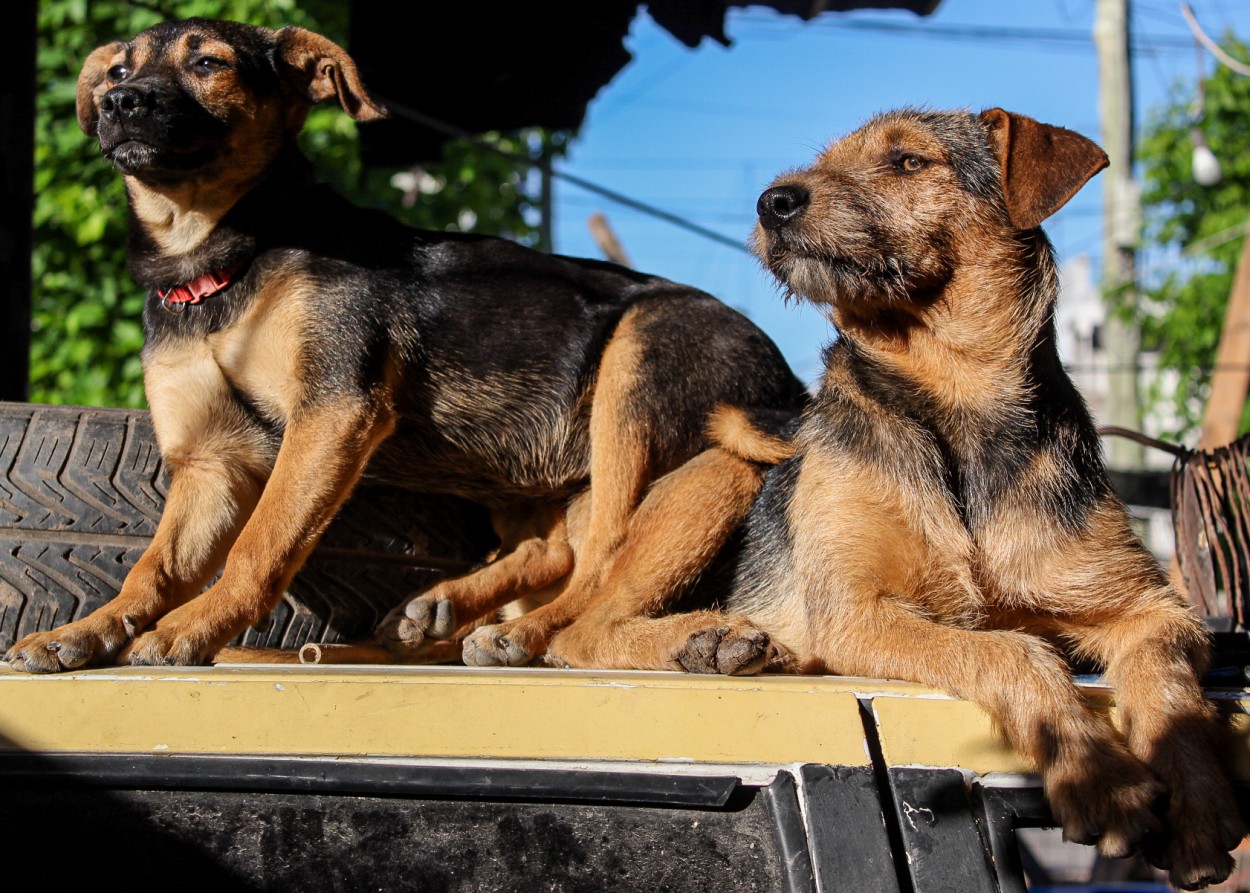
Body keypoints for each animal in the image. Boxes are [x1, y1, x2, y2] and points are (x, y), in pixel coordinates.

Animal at [547, 107, 1250, 885]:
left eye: (909, 161)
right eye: (823, 162)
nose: (773, 202)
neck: (955, 405)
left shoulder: (1149, 607)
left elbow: (1167, 683)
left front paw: (1199, 806)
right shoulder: (857, 611)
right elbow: (1015, 652)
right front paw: (1099, 774)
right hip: (722, 476)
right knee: (581, 631)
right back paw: (701, 638)